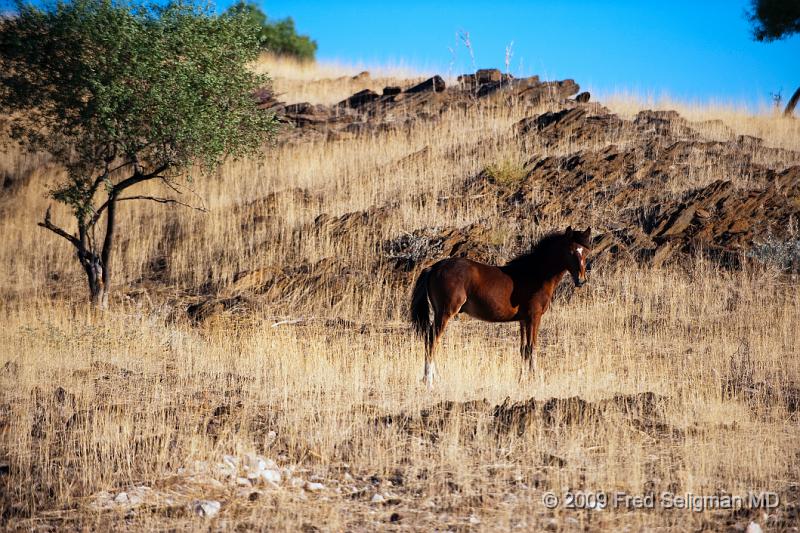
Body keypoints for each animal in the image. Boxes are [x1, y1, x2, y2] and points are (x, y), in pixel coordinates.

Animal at [412, 227, 588, 384]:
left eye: (586, 252)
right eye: (570, 251)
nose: (581, 280)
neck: (535, 274)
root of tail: (433, 267)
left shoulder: (523, 320)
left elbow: (523, 349)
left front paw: (522, 379)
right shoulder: (534, 317)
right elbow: (532, 347)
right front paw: (535, 379)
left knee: (431, 341)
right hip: (445, 313)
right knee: (432, 340)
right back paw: (429, 381)